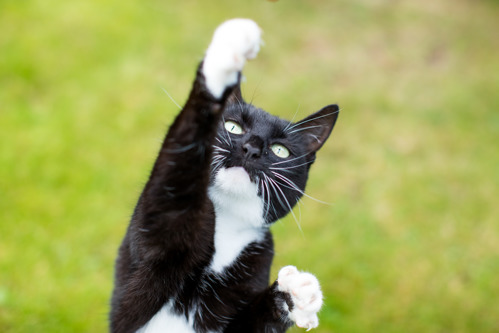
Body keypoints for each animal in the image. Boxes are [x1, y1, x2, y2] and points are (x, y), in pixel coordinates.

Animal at [110, 18, 340, 332]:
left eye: (280, 150)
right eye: (232, 127)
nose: (251, 148)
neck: (227, 225)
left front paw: (295, 295)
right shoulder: (156, 225)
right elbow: (176, 166)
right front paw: (225, 54)